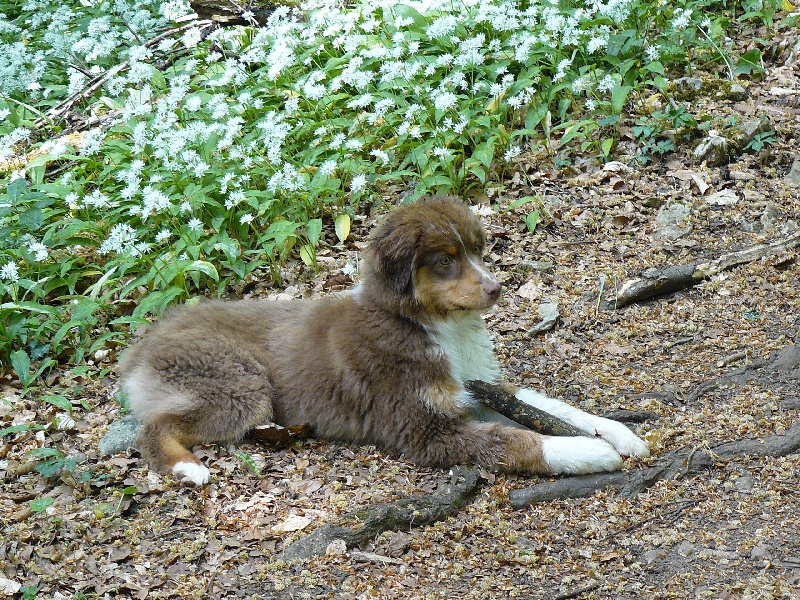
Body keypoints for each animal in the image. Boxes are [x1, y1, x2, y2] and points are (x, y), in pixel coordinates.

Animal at [117, 197, 648, 488]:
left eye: (478, 251)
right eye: (445, 261)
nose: (497, 289)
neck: (427, 326)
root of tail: (142, 346)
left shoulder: (479, 385)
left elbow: (551, 405)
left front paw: (617, 433)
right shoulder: (423, 427)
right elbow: (515, 439)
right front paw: (587, 454)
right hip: (239, 386)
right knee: (153, 429)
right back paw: (187, 468)